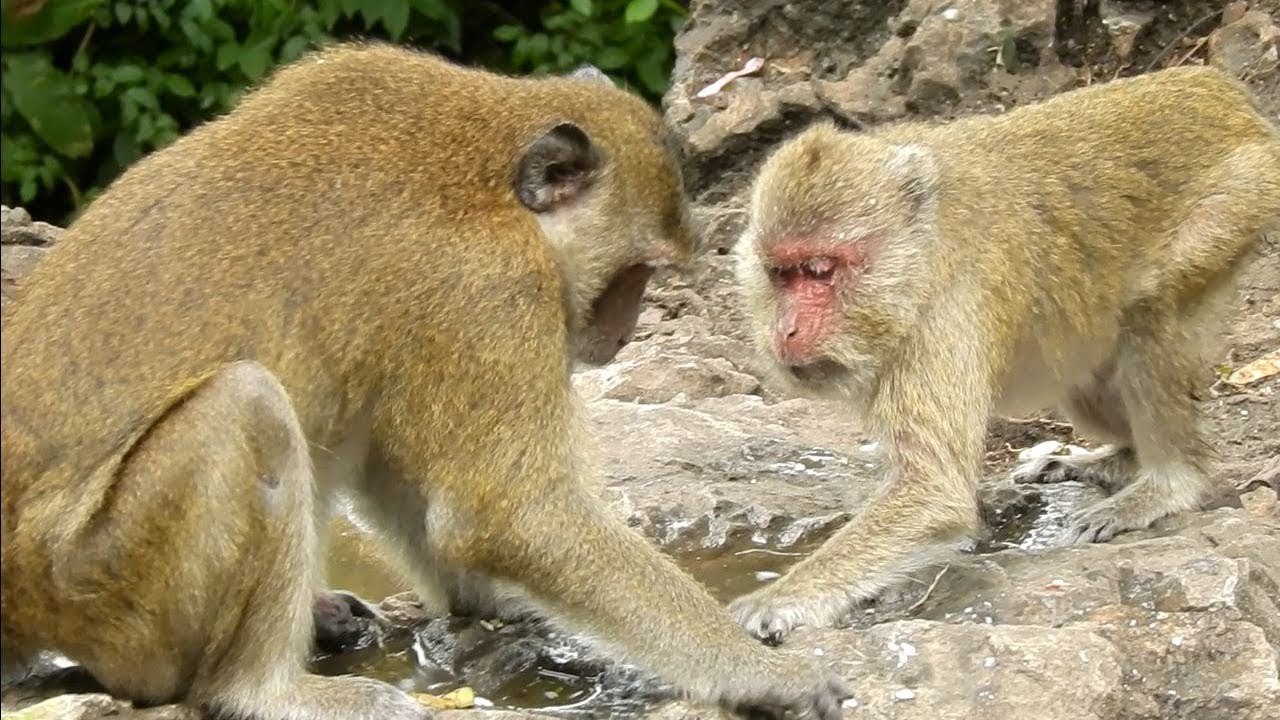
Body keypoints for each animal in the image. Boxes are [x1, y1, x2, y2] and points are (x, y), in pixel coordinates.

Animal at [0, 43, 845, 719]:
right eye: (635, 274)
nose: (624, 332)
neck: (488, 171)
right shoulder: (489, 291)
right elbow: (509, 513)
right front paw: (758, 672)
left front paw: (490, 597)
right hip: (105, 594)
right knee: (250, 407)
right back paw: (270, 690)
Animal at [728, 65, 1280, 643]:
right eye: (780, 274)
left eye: (819, 271)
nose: (787, 330)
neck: (923, 247)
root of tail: (1217, 88)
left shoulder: (947, 314)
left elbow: (934, 494)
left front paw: (773, 602)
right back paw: (1116, 459)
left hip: (1236, 202)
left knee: (1151, 310)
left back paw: (1171, 480)